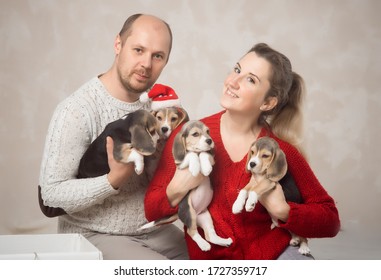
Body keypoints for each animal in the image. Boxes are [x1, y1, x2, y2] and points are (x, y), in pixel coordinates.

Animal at [140, 120, 232, 252]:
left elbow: (203, 153)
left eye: (208, 131)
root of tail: (179, 212)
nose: (209, 140)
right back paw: (204, 245)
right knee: (191, 231)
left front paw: (206, 167)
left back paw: (223, 241)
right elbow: (191, 155)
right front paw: (195, 167)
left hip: (205, 217)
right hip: (189, 211)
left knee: (209, 235)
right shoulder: (180, 164)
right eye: (195, 134)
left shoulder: (210, 157)